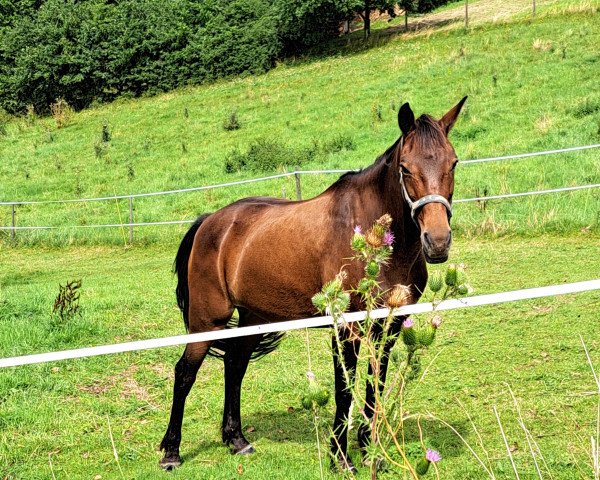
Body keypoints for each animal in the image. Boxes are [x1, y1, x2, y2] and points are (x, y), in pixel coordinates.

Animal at [158, 98, 464, 472]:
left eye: (453, 162)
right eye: (405, 168)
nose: (437, 241)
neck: (371, 236)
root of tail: (209, 222)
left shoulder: (389, 326)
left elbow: (375, 383)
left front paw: (370, 452)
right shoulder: (346, 329)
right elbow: (344, 389)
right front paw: (341, 458)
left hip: (254, 318)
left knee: (235, 364)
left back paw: (237, 440)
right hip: (207, 321)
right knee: (185, 373)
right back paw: (171, 452)